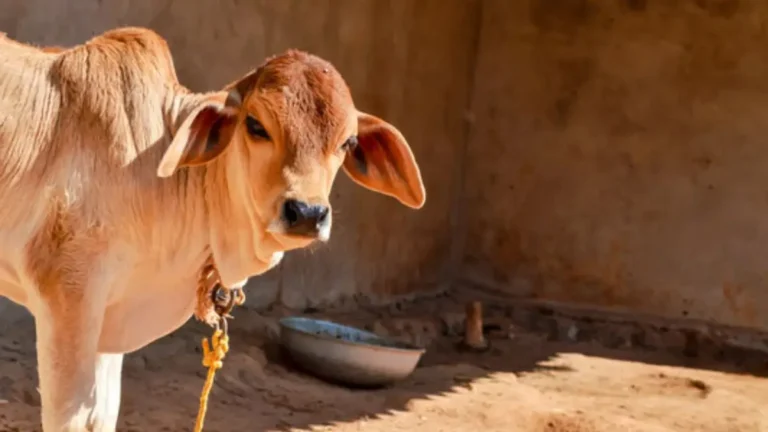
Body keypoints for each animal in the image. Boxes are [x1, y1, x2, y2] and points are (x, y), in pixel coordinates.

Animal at [0, 27, 425, 431]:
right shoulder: (68, 293)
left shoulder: (110, 316)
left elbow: (102, 416)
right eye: (255, 125)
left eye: (348, 142)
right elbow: (70, 418)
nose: (307, 213)